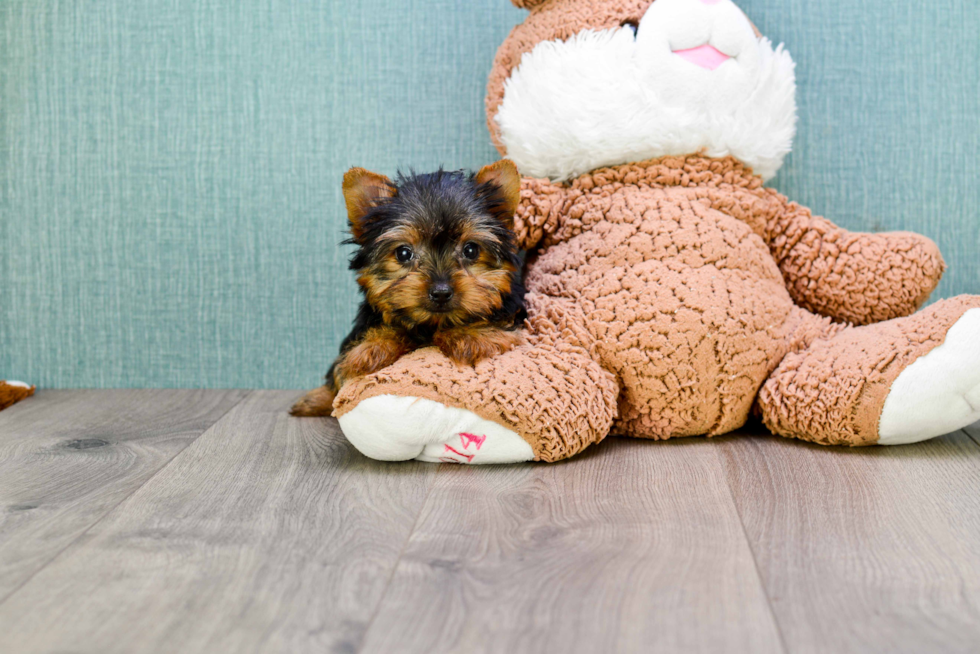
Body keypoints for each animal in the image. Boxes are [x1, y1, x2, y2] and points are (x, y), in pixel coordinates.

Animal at [290, 160, 524, 418]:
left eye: (471, 250)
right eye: (403, 253)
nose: (441, 292)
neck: (430, 325)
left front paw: (469, 334)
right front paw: (372, 346)